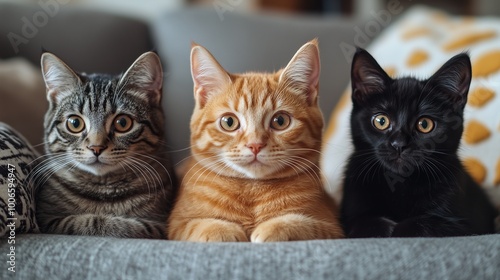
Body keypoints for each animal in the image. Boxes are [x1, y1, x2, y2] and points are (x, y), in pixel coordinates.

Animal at [33, 52, 176, 238]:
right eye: (74, 123)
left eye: (123, 122)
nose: (96, 147)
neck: (103, 191)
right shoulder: (47, 220)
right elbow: (89, 222)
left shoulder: (160, 225)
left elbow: (123, 226)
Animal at [168, 40, 344, 243]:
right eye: (229, 122)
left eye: (280, 121)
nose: (255, 145)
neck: (252, 189)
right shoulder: (175, 225)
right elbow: (196, 225)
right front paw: (223, 229)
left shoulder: (332, 227)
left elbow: (307, 224)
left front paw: (274, 227)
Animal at [340, 47, 496, 236]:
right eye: (381, 121)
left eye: (425, 124)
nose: (399, 144)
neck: (400, 184)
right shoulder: (348, 216)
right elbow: (365, 222)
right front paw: (386, 227)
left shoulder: (464, 226)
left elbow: (420, 224)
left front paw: (397, 228)